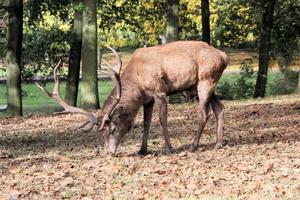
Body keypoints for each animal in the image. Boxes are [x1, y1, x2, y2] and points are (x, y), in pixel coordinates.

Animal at [38, 41, 229, 155]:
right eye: (101, 133)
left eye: (113, 128)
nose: (110, 152)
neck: (138, 83)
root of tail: (224, 56)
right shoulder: (148, 99)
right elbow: (146, 123)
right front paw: (142, 150)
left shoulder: (159, 91)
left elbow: (162, 120)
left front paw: (169, 148)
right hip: (204, 83)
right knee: (219, 108)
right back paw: (218, 143)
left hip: (205, 79)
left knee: (205, 113)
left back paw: (192, 146)